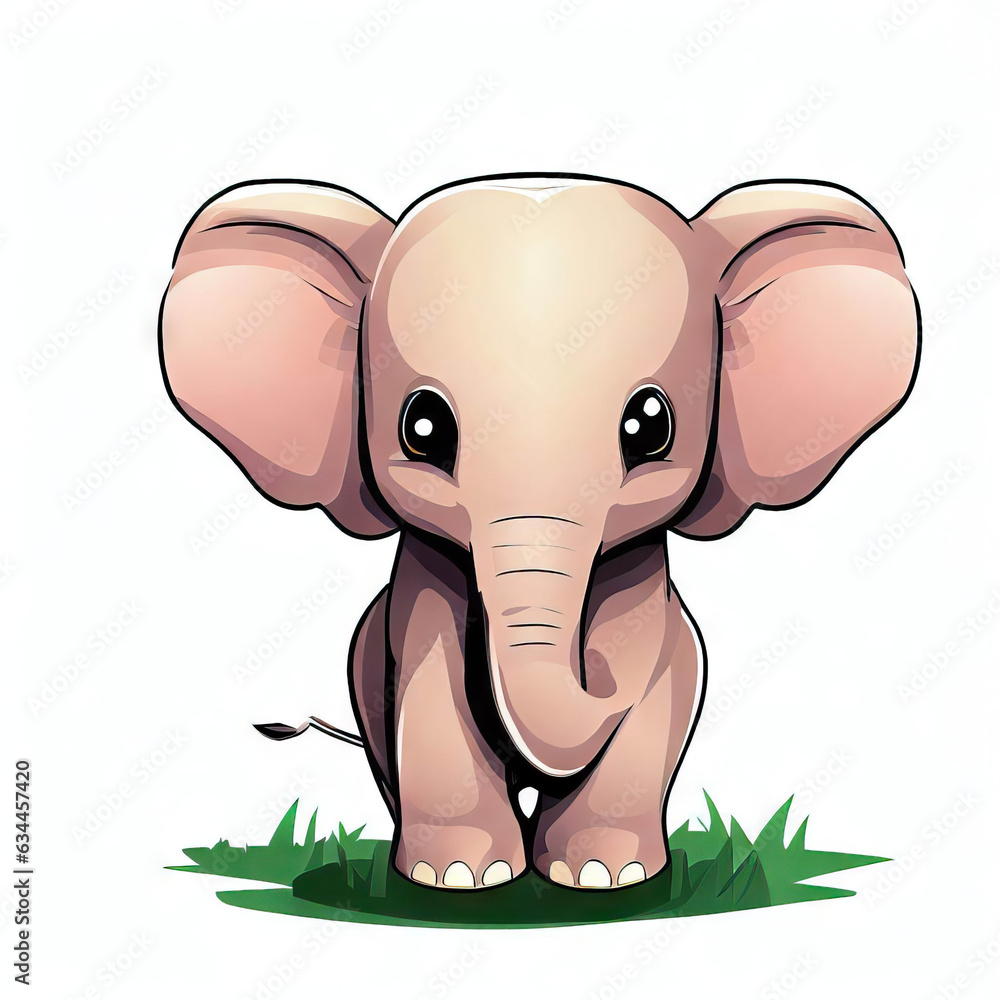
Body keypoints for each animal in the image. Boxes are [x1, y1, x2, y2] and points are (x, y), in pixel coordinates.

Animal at [159, 172, 919, 891]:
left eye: (650, 426)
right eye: (422, 428)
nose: (599, 674)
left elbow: (650, 675)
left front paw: (604, 877)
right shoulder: (425, 586)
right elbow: (434, 688)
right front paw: (460, 878)